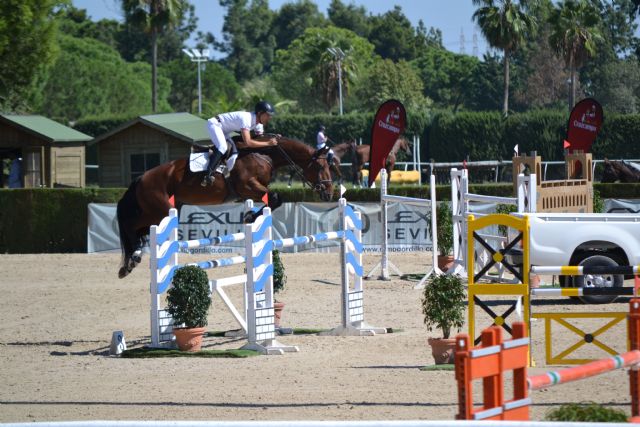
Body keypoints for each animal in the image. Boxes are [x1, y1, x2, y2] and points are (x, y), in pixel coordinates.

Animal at [116, 135, 336, 280]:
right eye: (320, 167)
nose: (329, 192)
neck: (262, 153)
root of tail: (141, 178)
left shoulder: (249, 192)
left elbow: (274, 200)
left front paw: (250, 216)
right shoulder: (247, 186)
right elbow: (275, 198)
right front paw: (250, 217)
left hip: (165, 210)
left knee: (139, 229)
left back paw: (133, 258)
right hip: (158, 209)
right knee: (130, 224)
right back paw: (132, 259)